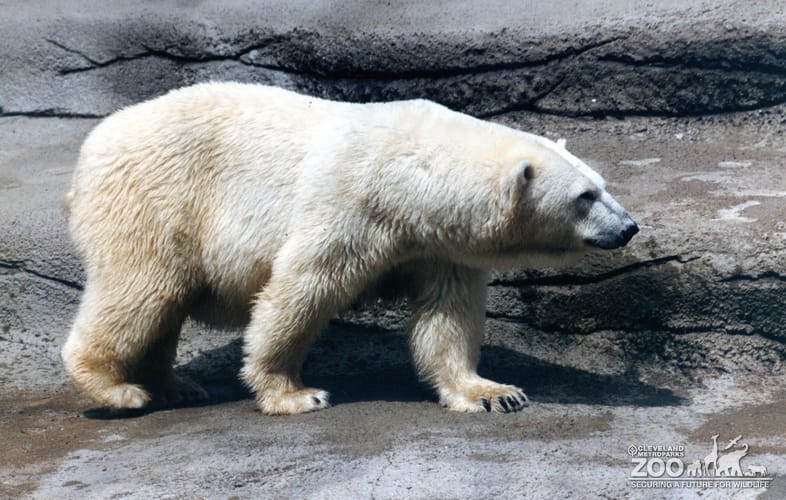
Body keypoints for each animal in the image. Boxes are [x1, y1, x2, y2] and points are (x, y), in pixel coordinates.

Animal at [62, 82, 638, 415]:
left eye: (602, 184)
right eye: (585, 196)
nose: (629, 227)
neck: (411, 176)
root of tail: (92, 146)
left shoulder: (438, 244)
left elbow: (448, 317)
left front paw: (494, 392)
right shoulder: (351, 205)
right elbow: (300, 291)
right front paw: (295, 393)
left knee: (164, 305)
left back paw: (175, 385)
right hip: (156, 199)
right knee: (142, 290)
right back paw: (117, 389)